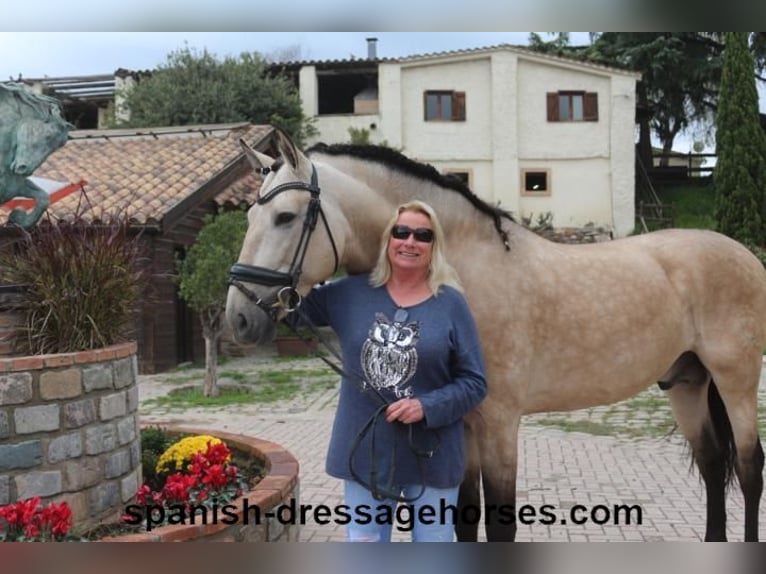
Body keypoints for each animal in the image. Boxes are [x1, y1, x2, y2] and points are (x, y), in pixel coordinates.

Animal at [0, 82, 71, 228]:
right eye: (48, 136)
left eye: (58, 145)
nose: (23, 168)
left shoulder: (14, 187)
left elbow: (43, 198)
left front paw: (19, 218)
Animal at [225, 128, 764, 544]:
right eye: (248, 216)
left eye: (285, 217)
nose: (239, 318)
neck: (463, 270)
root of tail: (745, 255)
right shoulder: (458, 423)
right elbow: (464, 519)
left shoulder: (501, 422)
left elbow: (500, 522)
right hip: (686, 382)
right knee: (713, 465)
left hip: (736, 382)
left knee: (748, 469)